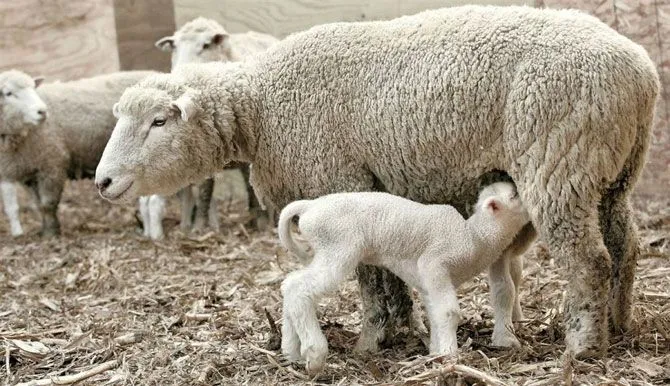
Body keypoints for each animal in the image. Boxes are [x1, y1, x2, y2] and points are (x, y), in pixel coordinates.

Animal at [0, 71, 154, 237]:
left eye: (33, 88)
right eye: (8, 93)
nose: (42, 111)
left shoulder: (52, 165)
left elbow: (48, 204)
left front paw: (52, 233)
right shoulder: (30, 173)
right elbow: (38, 205)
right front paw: (45, 230)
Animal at [276, 182, 532, 376]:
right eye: (515, 195)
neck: (475, 238)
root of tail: (310, 205)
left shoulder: (428, 282)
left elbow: (435, 314)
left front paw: (435, 352)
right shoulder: (434, 264)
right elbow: (449, 312)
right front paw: (451, 356)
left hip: (324, 250)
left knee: (290, 284)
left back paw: (290, 351)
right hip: (338, 248)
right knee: (299, 288)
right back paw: (314, 354)